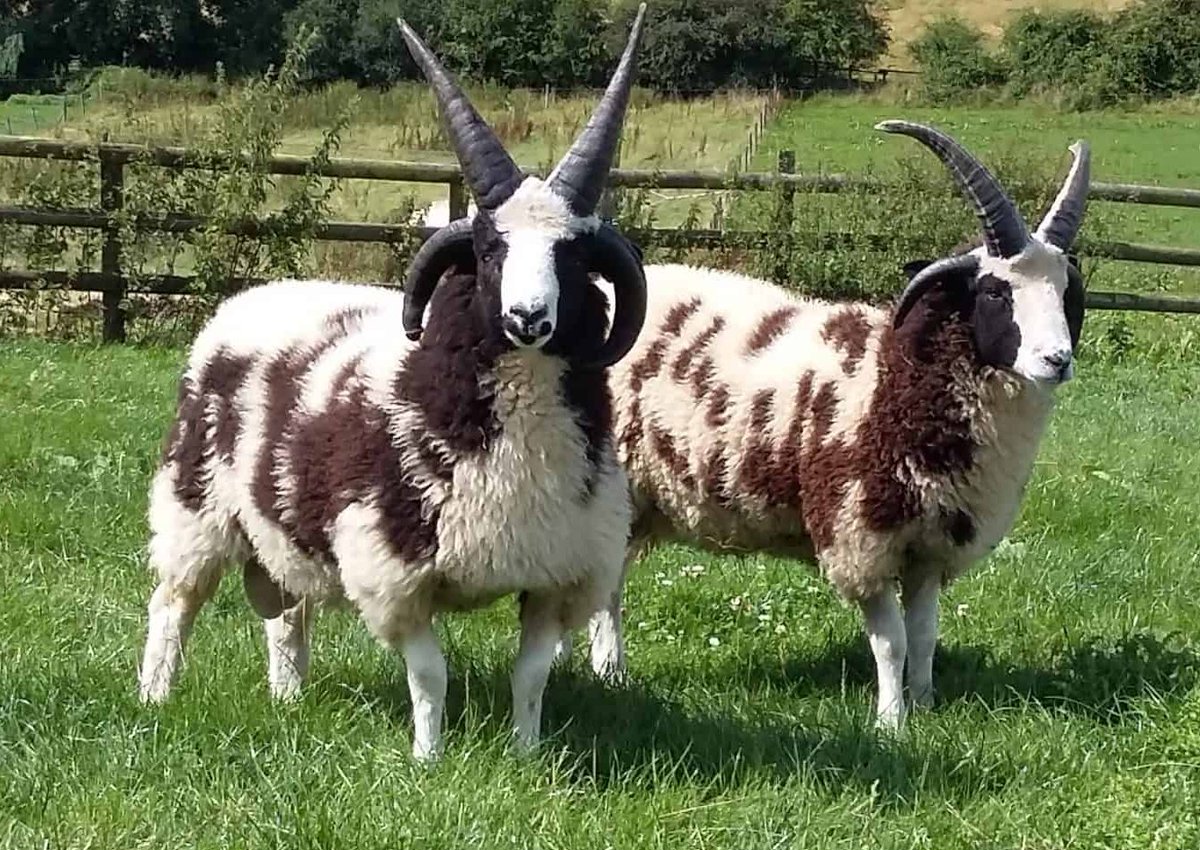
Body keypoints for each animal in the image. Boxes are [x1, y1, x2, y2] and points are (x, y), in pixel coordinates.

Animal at [137, 6, 650, 761]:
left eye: (574, 254)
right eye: (489, 250)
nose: (528, 319)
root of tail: (251, 299)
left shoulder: (555, 573)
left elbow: (531, 676)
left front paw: (526, 755)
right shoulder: (394, 571)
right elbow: (431, 675)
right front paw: (428, 758)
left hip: (280, 529)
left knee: (284, 613)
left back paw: (288, 702)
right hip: (193, 506)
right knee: (174, 602)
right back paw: (156, 697)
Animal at [579, 121, 1091, 729]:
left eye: (1066, 291)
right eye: (995, 291)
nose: (1057, 360)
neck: (895, 380)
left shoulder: (929, 545)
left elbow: (925, 635)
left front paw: (925, 703)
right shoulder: (860, 535)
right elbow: (891, 642)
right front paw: (892, 722)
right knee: (606, 586)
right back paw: (610, 672)